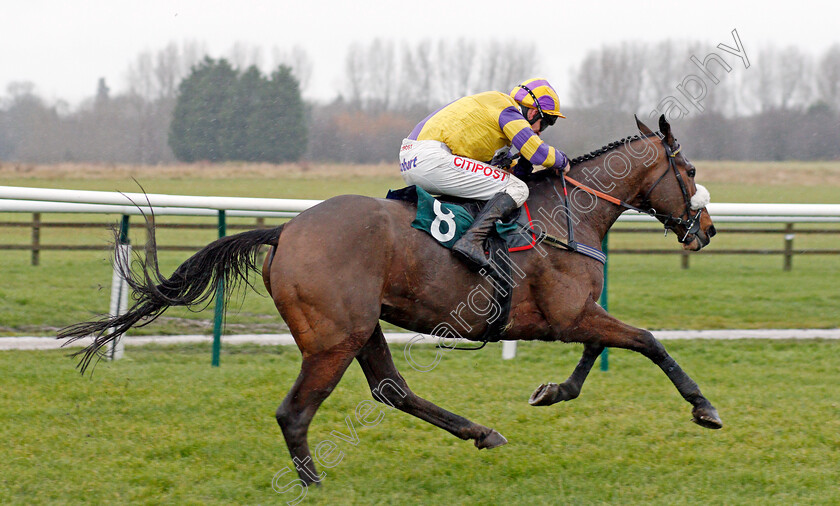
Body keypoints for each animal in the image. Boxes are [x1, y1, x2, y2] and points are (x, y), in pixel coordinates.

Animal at [60, 115, 720, 486]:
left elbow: (597, 354)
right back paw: (312, 483)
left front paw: (551, 391)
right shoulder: (568, 315)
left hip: (363, 326)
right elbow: (649, 342)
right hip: (335, 337)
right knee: (294, 413)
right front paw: (704, 408)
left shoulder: (574, 315)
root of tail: (287, 231)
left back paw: (481, 432)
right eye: (688, 170)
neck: (568, 214)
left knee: (391, 390)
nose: (707, 229)